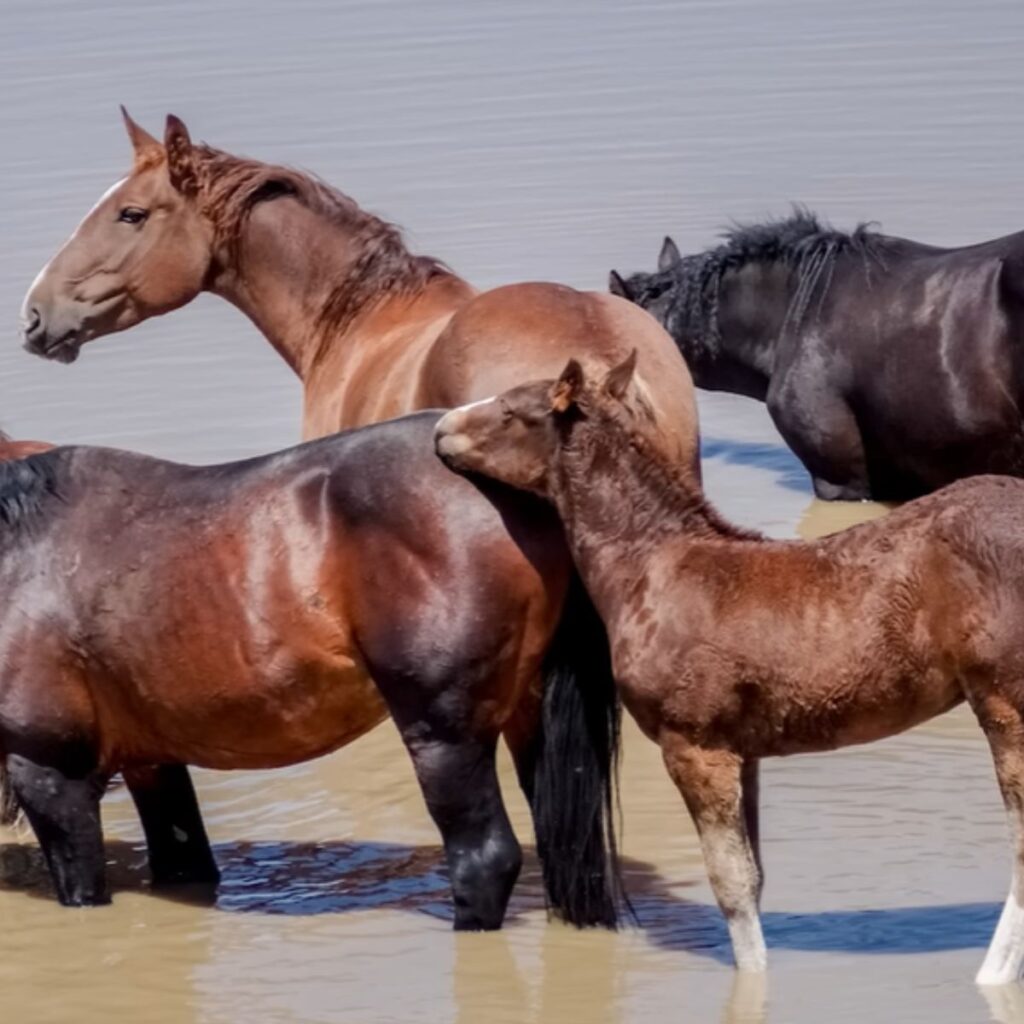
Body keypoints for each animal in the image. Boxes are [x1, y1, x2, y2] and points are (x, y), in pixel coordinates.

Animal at [434, 352, 1024, 986]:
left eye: (510, 410)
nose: (441, 429)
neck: (652, 569)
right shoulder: (746, 752)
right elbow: (755, 874)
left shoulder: (696, 746)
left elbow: (731, 885)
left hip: (1006, 707)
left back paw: (991, 976)